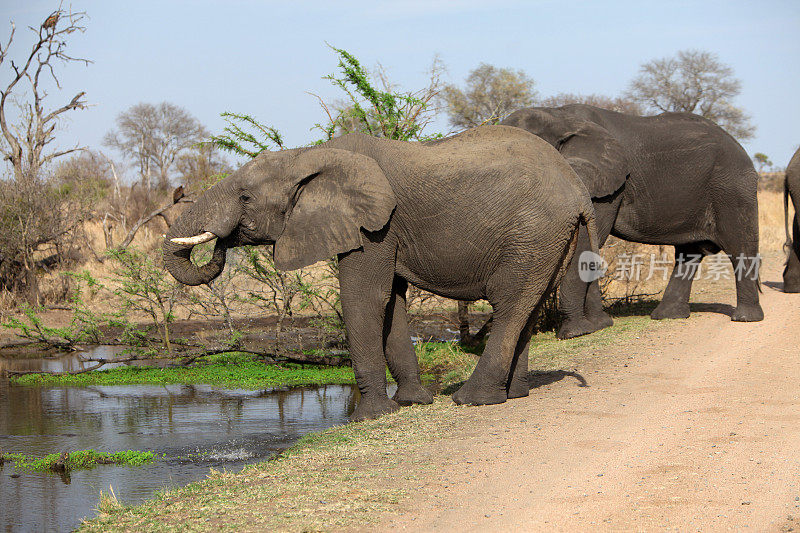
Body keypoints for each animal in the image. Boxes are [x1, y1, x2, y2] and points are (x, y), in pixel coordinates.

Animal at [166, 124, 596, 420]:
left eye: (245, 197)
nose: (221, 243)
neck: (307, 155)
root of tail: (578, 188)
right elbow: (392, 302)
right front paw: (411, 403)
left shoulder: (374, 226)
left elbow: (364, 297)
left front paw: (371, 416)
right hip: (550, 239)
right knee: (530, 305)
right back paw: (515, 395)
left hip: (533, 231)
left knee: (509, 303)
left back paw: (473, 399)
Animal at [500, 103, 764, 336]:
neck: (557, 116)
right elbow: (589, 243)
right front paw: (601, 325)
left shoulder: (608, 185)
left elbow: (587, 239)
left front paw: (577, 332)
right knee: (688, 254)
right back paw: (667, 316)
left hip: (732, 188)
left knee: (739, 247)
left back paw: (746, 318)